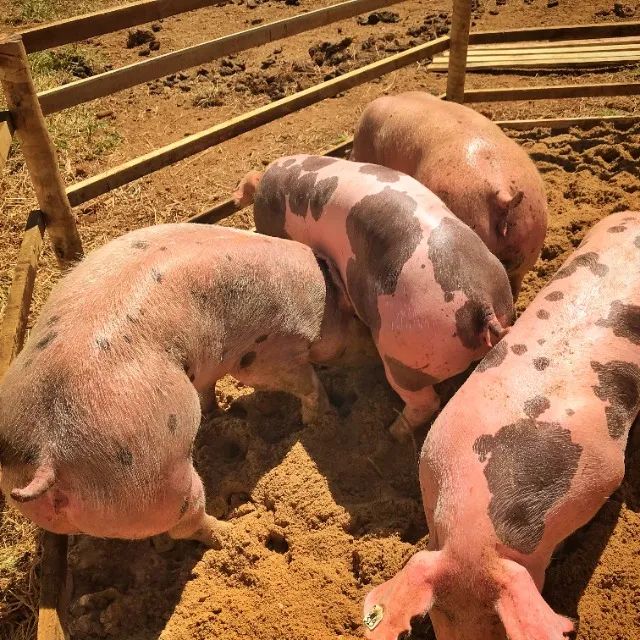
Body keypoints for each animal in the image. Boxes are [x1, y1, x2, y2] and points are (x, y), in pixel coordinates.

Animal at [0, 223, 363, 546]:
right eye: (355, 318)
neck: (318, 305)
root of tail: (47, 449)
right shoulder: (265, 351)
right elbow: (302, 381)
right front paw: (322, 419)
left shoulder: (211, 362)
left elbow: (207, 389)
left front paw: (216, 413)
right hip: (153, 477)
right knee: (188, 522)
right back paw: (237, 534)